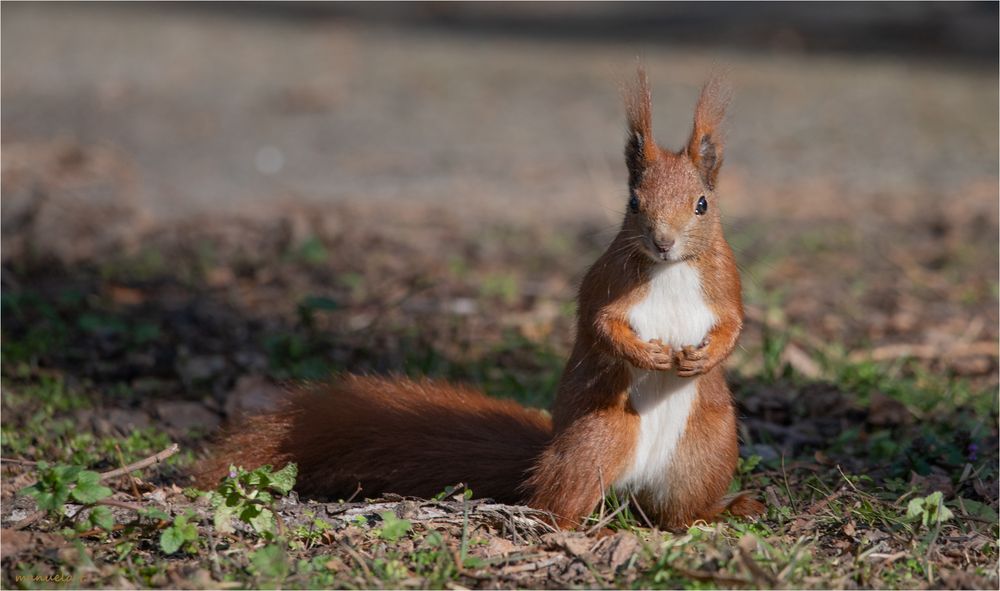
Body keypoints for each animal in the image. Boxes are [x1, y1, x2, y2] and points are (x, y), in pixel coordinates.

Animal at [197, 69, 764, 532]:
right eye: (633, 202)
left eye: (702, 204)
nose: (663, 242)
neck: (669, 269)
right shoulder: (605, 284)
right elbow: (600, 325)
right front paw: (647, 353)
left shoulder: (725, 283)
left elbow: (735, 324)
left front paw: (702, 357)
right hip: (596, 442)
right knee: (556, 505)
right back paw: (585, 531)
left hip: (705, 453)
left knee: (677, 516)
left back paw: (723, 511)